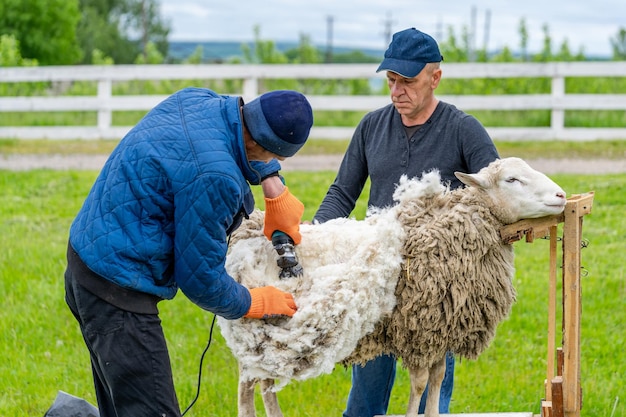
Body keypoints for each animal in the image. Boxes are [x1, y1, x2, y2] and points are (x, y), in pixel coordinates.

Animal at [218, 157, 564, 416]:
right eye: (512, 180)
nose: (561, 196)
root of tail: (246, 231)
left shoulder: (440, 330)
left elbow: (438, 378)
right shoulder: (419, 331)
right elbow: (420, 383)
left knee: (263, 383)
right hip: (258, 331)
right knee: (248, 385)